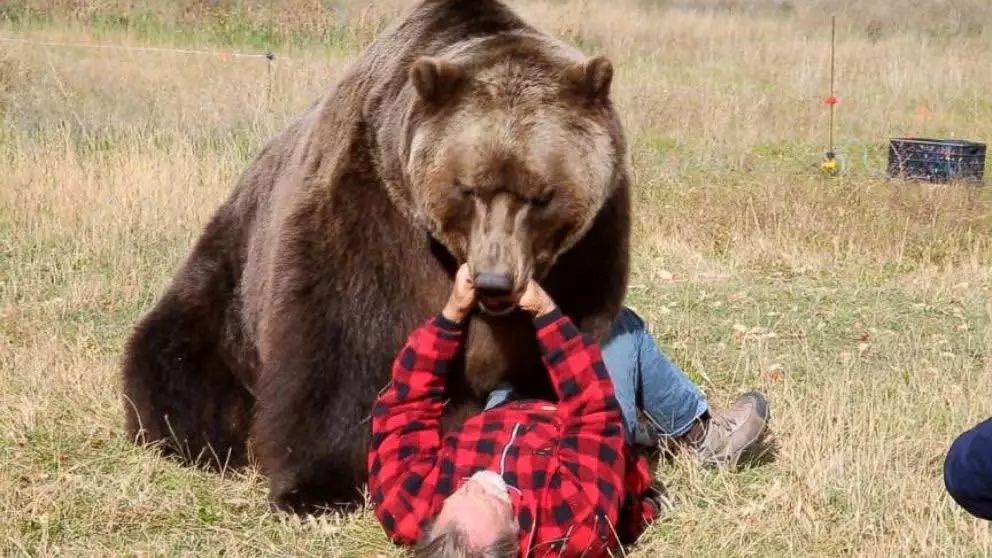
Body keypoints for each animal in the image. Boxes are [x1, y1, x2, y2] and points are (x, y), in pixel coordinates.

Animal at [122, 0, 628, 516]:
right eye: (469, 188)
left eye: (541, 196)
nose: (494, 281)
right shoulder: (370, 211)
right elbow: (343, 341)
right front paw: (317, 486)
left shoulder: (586, 253)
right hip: (230, 283)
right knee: (176, 360)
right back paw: (199, 437)